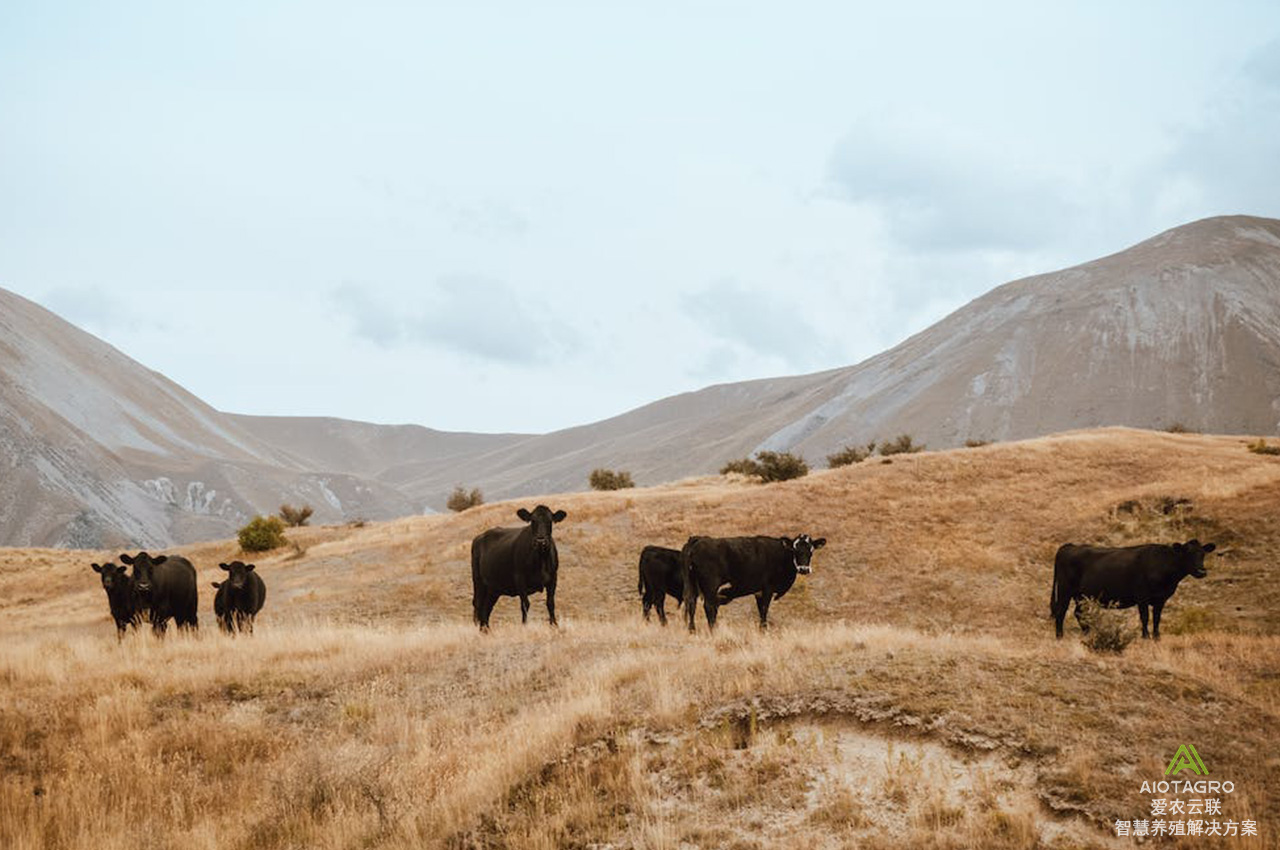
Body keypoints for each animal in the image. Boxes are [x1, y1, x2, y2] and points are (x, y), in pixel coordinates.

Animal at [686, 532, 824, 629]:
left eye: (811, 550)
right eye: (795, 550)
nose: (804, 569)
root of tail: (699, 539)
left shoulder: (758, 592)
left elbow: (760, 611)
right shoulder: (767, 589)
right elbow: (764, 610)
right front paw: (764, 629)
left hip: (692, 586)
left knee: (692, 605)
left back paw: (692, 631)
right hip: (710, 586)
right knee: (708, 607)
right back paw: (713, 630)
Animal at [1049, 540, 1218, 640]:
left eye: (1203, 554)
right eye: (1187, 554)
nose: (1202, 571)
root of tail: (1069, 546)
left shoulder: (1161, 599)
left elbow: (1157, 618)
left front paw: (1157, 637)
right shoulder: (1142, 596)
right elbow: (1145, 617)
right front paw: (1146, 636)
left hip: (1081, 595)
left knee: (1079, 613)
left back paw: (1087, 633)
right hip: (1065, 590)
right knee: (1061, 611)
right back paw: (1059, 636)